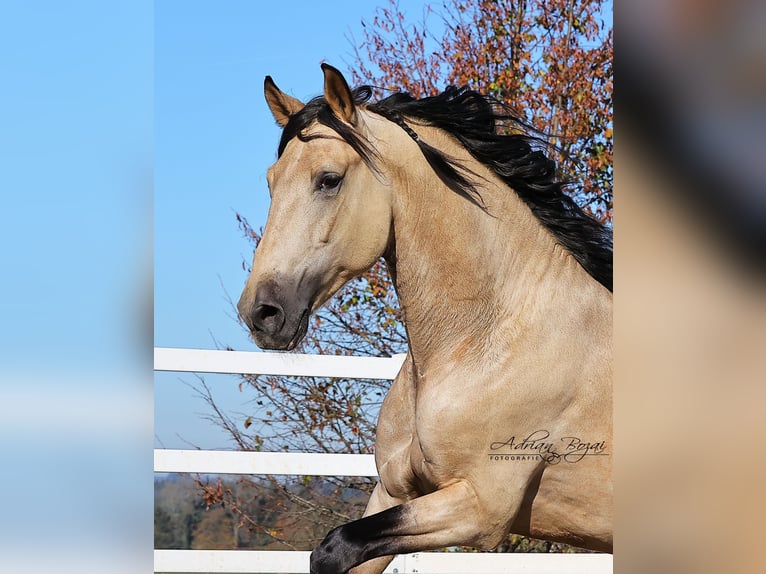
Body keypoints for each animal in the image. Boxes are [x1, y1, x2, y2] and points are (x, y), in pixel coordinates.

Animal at [237, 64, 616, 574]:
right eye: (271, 181)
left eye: (329, 179)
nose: (261, 312)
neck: (486, 340)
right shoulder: (393, 491)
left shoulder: (479, 509)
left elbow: (334, 548)